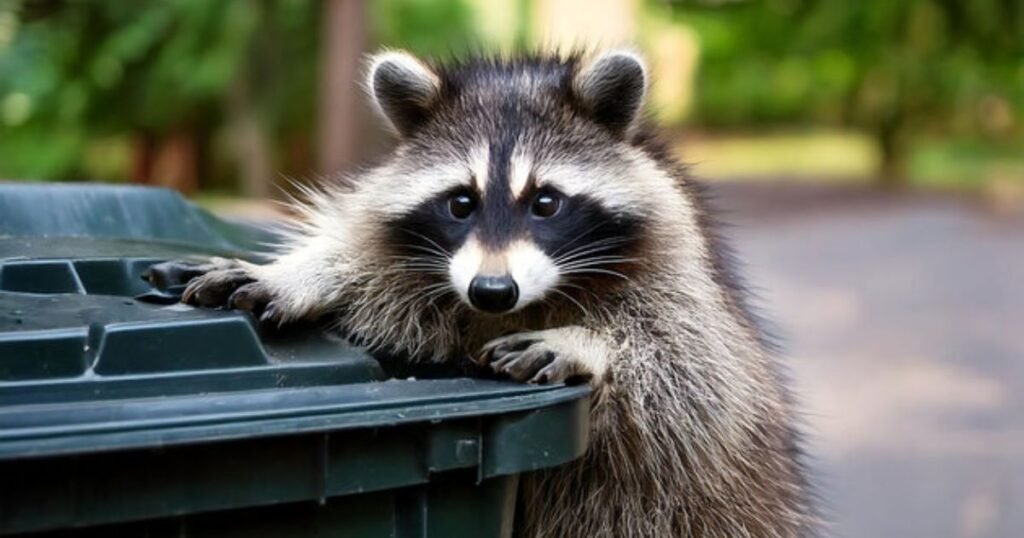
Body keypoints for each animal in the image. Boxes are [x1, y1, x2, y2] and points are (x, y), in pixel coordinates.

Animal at [180, 50, 816, 537]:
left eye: (546, 202)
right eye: (460, 202)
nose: (492, 290)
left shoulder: (682, 271)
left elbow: (694, 371)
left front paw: (589, 342)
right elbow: (392, 293)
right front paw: (311, 271)